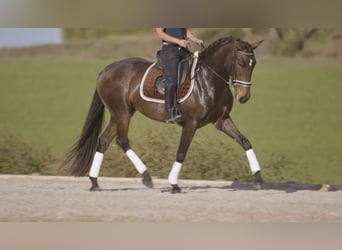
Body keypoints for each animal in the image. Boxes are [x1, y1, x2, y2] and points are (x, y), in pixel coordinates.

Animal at [65, 35, 266, 193]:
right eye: (240, 63)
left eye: (253, 64)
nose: (244, 97)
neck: (209, 80)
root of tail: (105, 71)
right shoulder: (191, 124)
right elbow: (181, 153)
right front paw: (174, 185)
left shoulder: (221, 120)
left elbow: (245, 142)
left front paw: (259, 179)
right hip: (122, 113)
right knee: (122, 140)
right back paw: (146, 177)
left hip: (119, 114)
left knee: (104, 141)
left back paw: (94, 182)